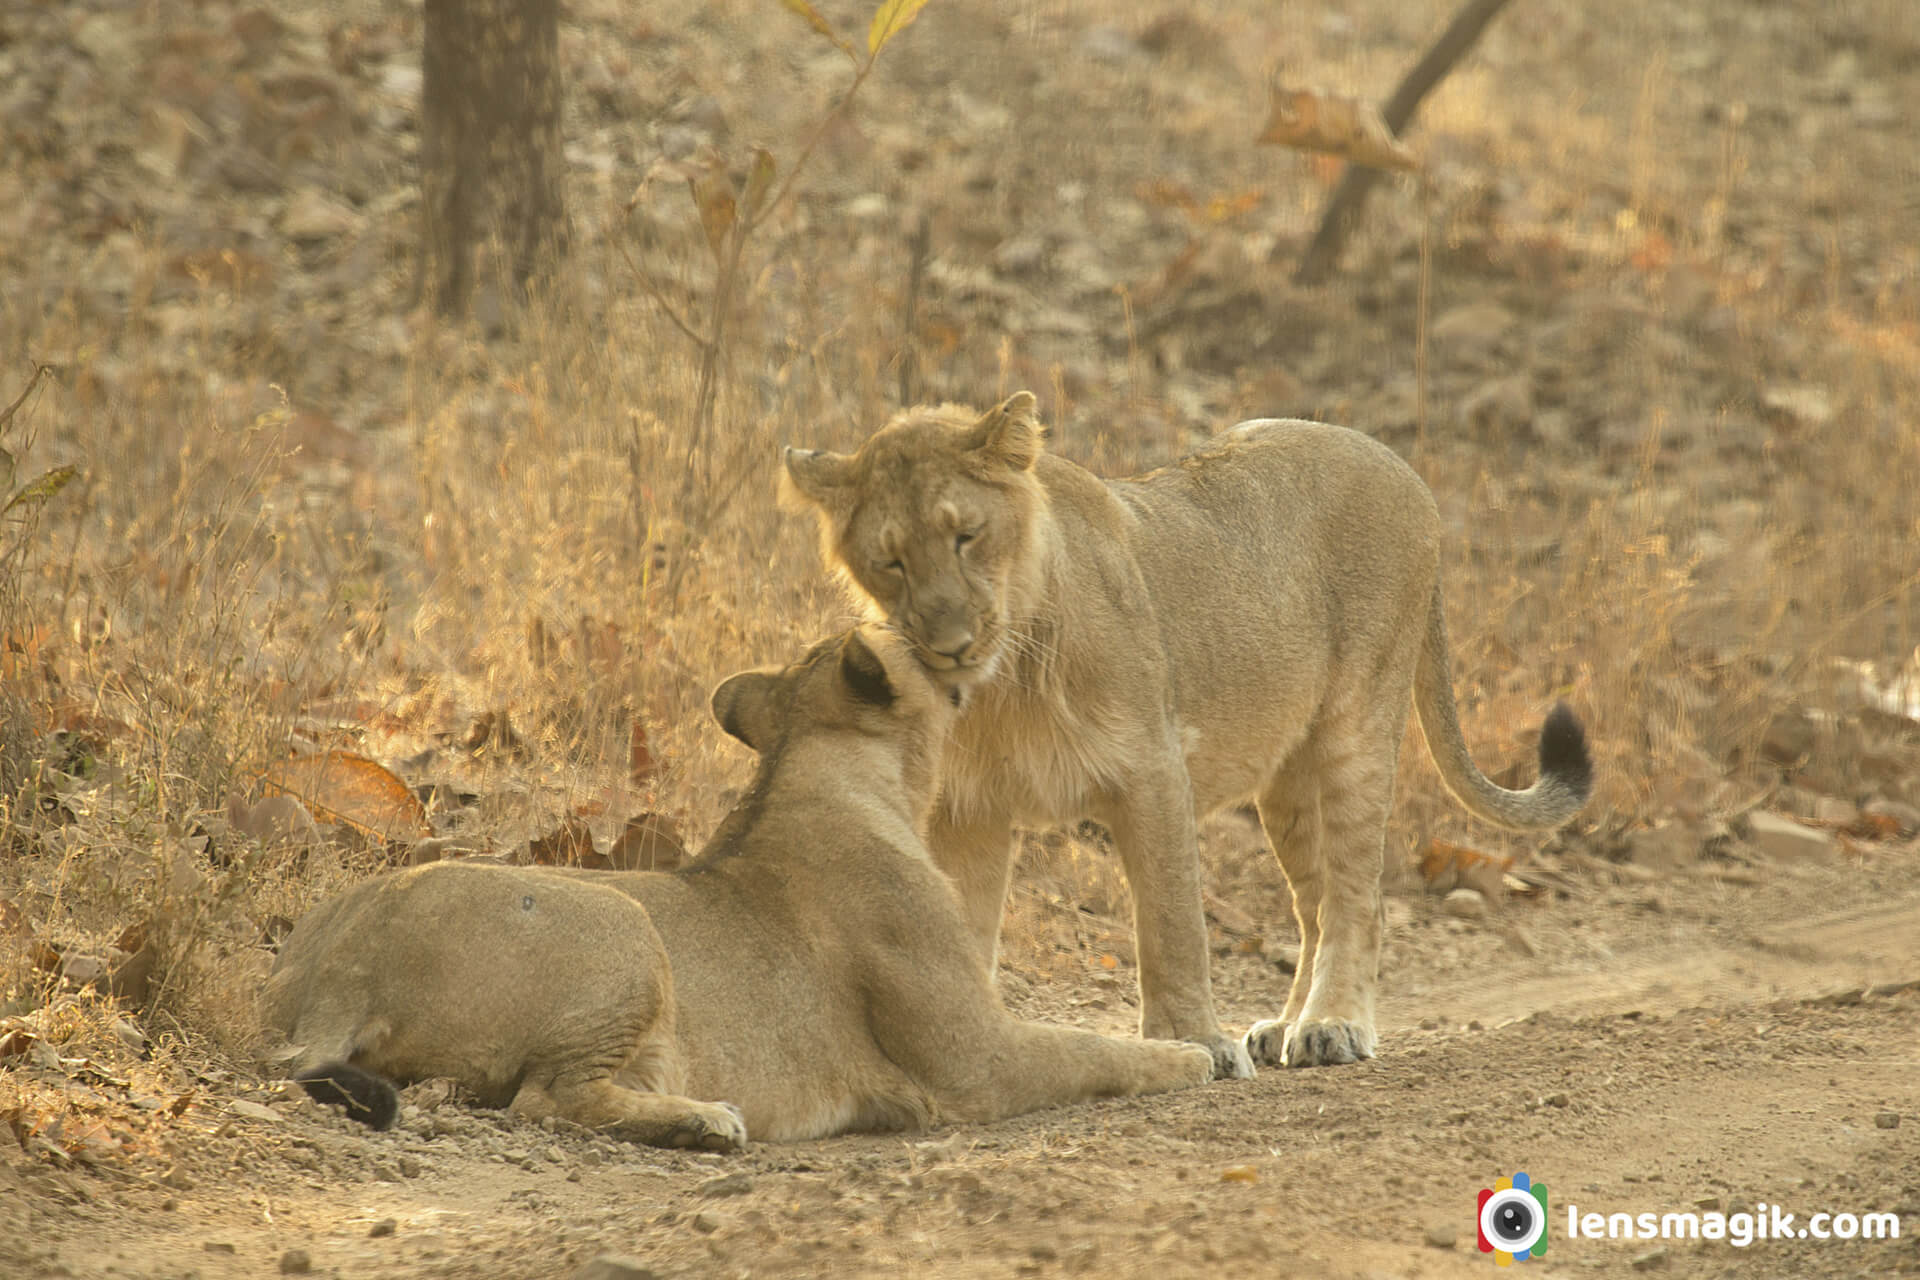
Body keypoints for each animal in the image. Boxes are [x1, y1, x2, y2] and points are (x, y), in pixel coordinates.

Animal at [263, 625, 1205, 1143]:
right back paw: (707, 1122)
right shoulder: (977, 1058)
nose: (968, 637)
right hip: (622, 919)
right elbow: (1091, 1050)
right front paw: (1195, 1056)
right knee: (545, 1100)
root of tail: (339, 966)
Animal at [779, 395, 1589, 1074]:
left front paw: (1196, 1041)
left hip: (1357, 725)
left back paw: (1331, 1025)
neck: (1004, 680)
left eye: (967, 537)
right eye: (890, 560)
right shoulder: (970, 806)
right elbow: (964, 922)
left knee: (1360, 896)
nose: (949, 645)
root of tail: (1402, 466)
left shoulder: (1153, 768)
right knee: (1314, 902)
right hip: (1286, 778)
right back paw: (1284, 1026)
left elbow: (1171, 923)